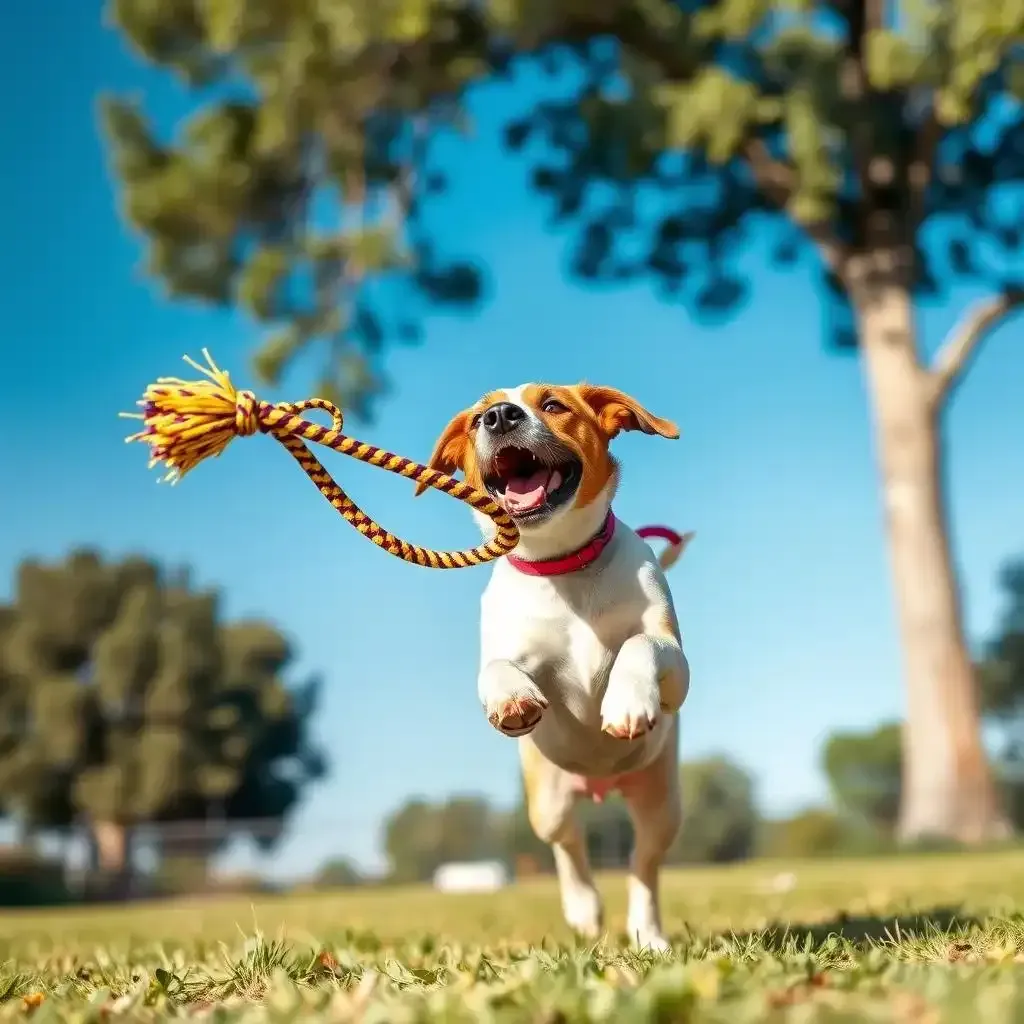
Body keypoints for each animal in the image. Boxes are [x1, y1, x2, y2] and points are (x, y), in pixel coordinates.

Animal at [417, 385, 696, 950]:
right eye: (477, 418)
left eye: (553, 405)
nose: (499, 417)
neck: (563, 565)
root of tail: (599, 785)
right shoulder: (511, 651)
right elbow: (497, 667)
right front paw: (511, 698)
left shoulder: (676, 667)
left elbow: (639, 644)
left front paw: (626, 700)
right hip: (547, 800)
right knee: (568, 846)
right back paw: (585, 909)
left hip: (662, 801)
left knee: (643, 861)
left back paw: (647, 932)